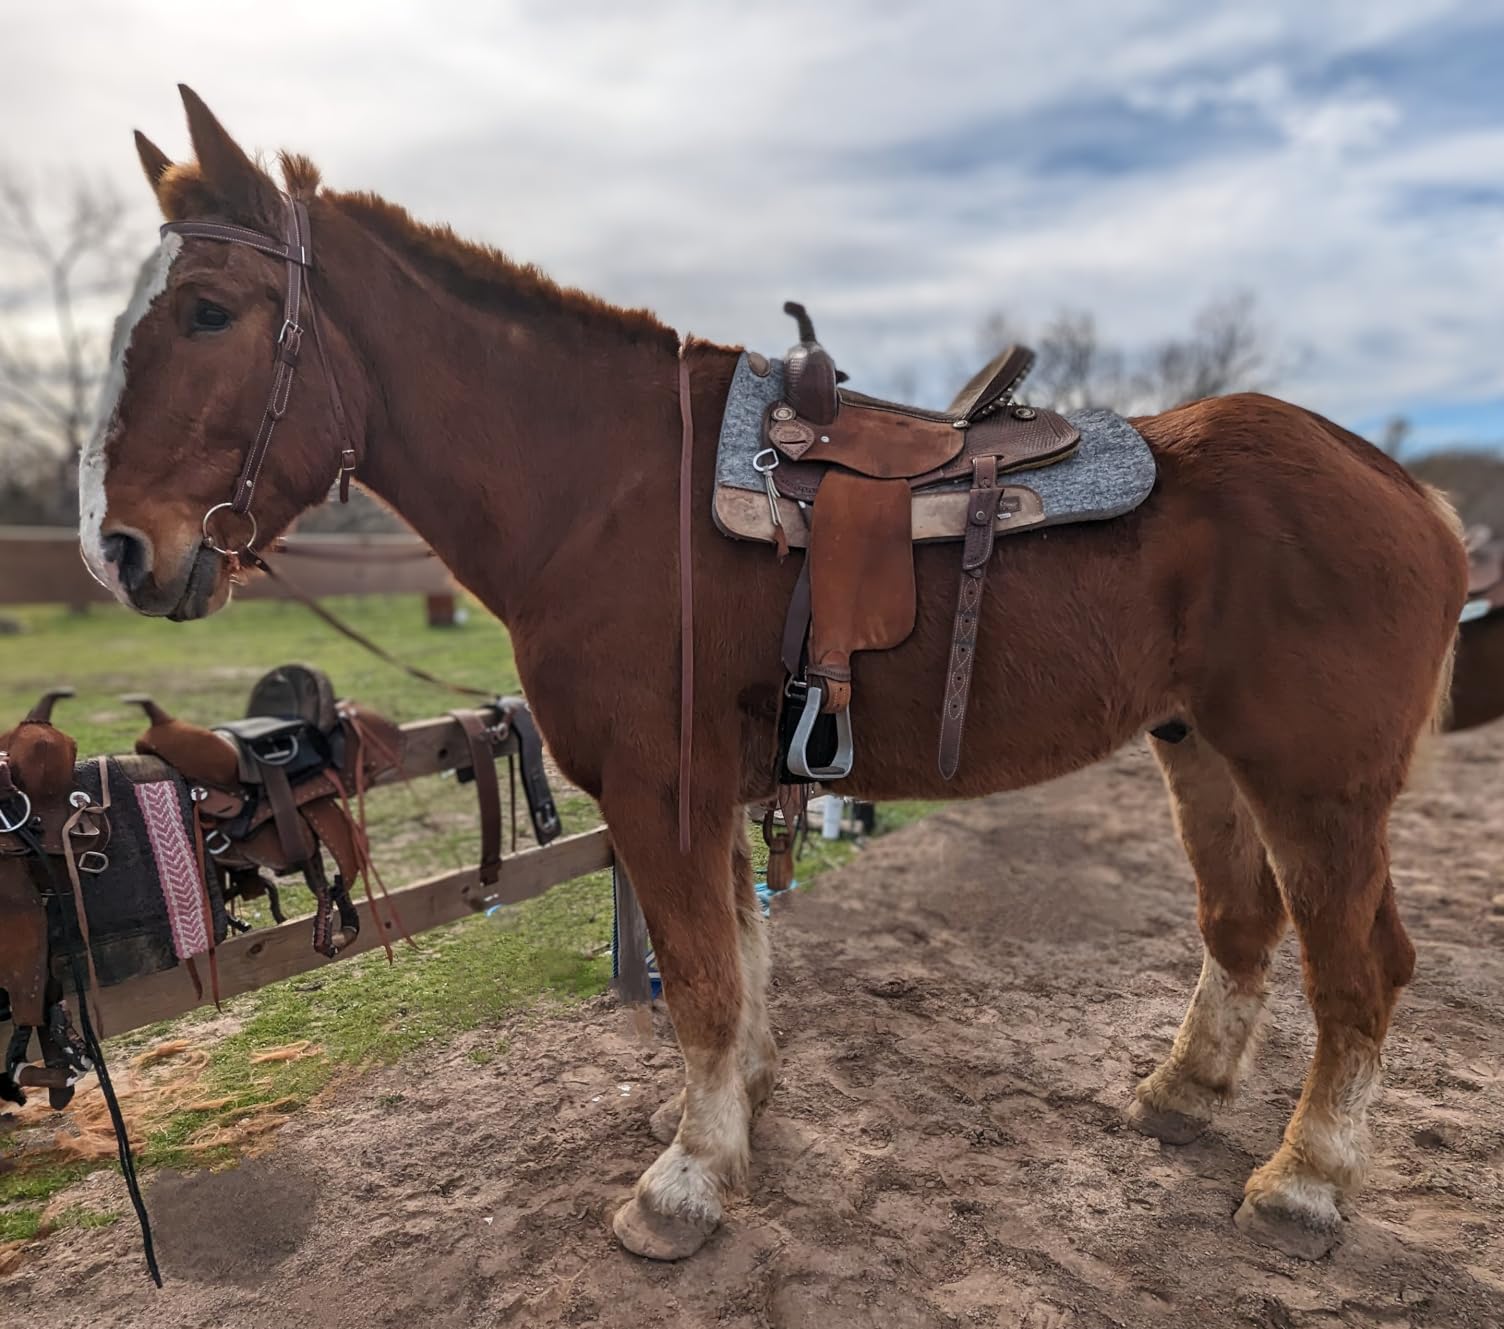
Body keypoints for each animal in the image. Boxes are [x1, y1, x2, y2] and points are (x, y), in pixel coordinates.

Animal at [80, 86, 1468, 1263]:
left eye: (208, 311)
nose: (119, 550)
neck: (607, 488)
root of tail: (1414, 495)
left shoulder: (660, 791)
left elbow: (698, 982)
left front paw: (685, 1185)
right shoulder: (720, 791)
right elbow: (740, 964)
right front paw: (733, 1115)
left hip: (1317, 787)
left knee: (1360, 972)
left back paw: (1303, 1183)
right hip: (1203, 755)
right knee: (1243, 925)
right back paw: (1184, 1091)